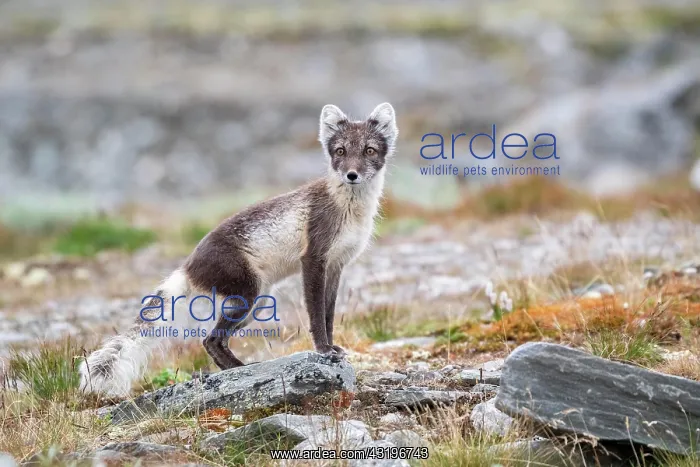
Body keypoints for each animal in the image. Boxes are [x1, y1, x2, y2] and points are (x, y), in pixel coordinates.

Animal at [79, 102, 398, 396]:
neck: (350, 209)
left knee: (214, 340)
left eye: (369, 150)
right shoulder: (314, 259)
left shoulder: (336, 265)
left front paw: (333, 347)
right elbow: (316, 315)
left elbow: (329, 314)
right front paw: (323, 349)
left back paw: (236, 370)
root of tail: (188, 265)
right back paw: (240, 371)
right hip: (248, 292)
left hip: (256, 303)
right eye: (340, 151)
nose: (352, 175)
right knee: (209, 339)